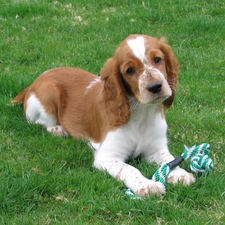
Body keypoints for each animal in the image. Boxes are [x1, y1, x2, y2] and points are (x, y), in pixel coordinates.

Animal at [12, 34, 195, 196]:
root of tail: (34, 83)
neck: (142, 114)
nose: (156, 86)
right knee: (40, 123)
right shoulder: (107, 156)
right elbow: (129, 169)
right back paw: (58, 129)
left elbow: (168, 159)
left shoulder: (156, 148)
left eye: (157, 59)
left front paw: (180, 173)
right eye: (130, 70)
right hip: (49, 93)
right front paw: (147, 185)